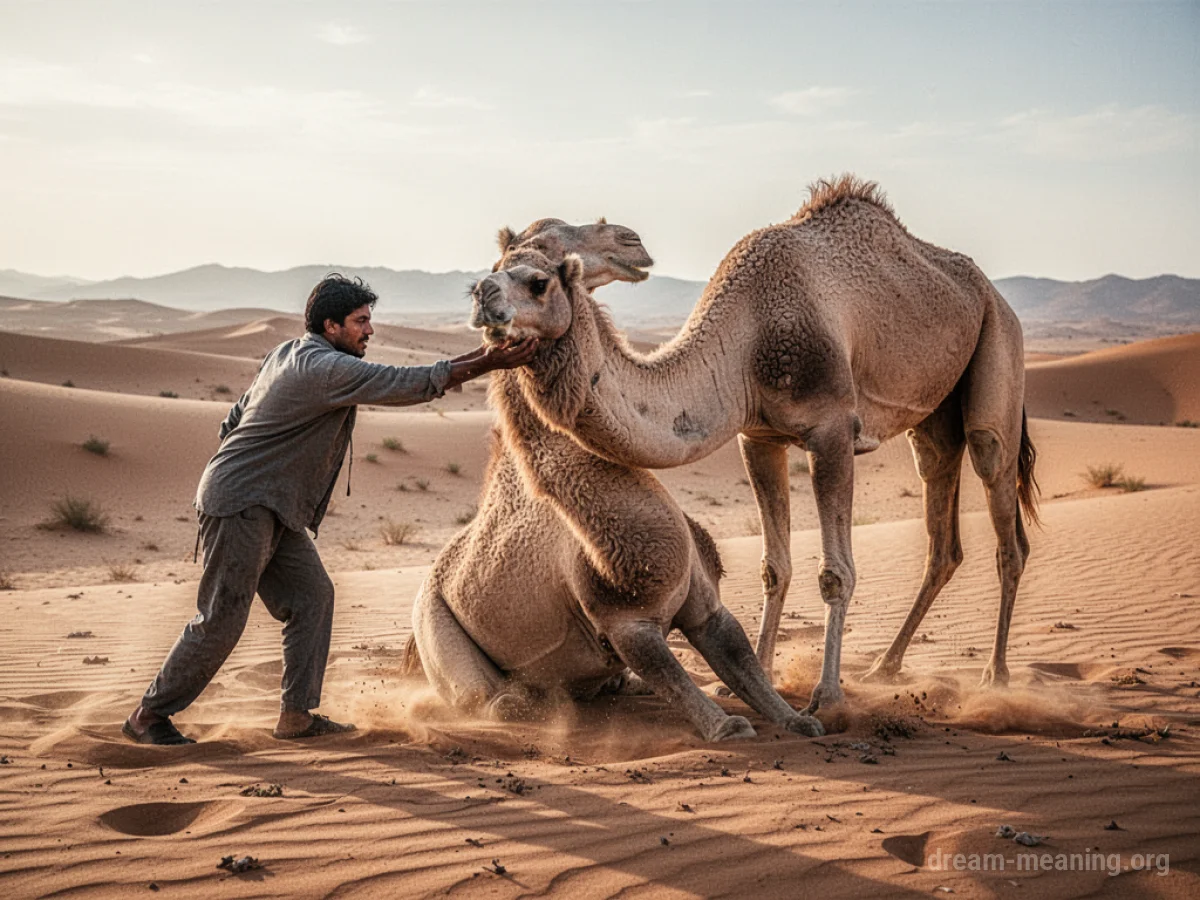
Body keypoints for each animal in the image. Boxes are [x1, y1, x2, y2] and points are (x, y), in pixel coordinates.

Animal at [405, 225, 824, 742]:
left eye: (539, 280)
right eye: (492, 275)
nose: (483, 293)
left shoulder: (705, 606)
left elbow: (742, 662)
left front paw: (800, 718)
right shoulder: (625, 624)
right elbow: (673, 678)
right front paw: (727, 726)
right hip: (434, 623)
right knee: (502, 702)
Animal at [475, 176, 1039, 715]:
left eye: (540, 276)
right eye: (502, 264)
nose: (629, 239)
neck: (744, 342)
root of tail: (991, 293)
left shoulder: (832, 428)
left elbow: (836, 573)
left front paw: (827, 696)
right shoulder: (758, 436)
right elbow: (773, 566)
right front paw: (753, 679)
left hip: (999, 343)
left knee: (1002, 507)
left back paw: (996, 676)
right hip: (934, 416)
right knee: (941, 526)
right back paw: (886, 666)